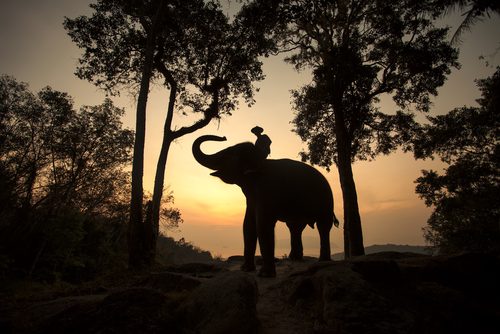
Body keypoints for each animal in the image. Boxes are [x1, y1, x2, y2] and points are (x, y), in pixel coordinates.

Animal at [192, 134, 340, 276]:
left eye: (229, 154)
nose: (223, 137)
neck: (260, 162)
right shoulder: (252, 197)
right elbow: (248, 224)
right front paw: (246, 269)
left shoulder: (268, 191)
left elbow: (263, 224)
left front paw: (264, 274)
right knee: (295, 227)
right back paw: (295, 258)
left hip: (326, 201)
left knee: (323, 226)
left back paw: (323, 261)